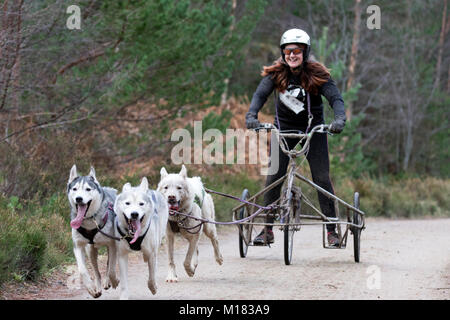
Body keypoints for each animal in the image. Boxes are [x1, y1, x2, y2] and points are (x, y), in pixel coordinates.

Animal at [67, 165, 119, 298]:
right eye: (74, 189)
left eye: (88, 189)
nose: (78, 198)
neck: (90, 220)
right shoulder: (78, 245)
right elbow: (82, 270)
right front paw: (90, 288)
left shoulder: (112, 244)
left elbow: (111, 268)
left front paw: (114, 281)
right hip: (91, 251)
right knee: (96, 272)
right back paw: (98, 286)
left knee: (109, 265)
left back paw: (108, 281)